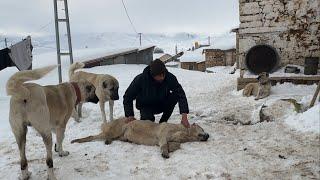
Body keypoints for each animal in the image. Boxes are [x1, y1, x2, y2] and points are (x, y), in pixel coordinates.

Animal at [71, 118, 209, 159]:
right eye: (202, 129)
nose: (208, 136)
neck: (185, 132)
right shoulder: (163, 135)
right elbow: (164, 144)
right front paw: (165, 152)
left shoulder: (171, 139)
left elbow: (176, 145)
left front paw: (169, 149)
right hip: (115, 130)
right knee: (92, 136)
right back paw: (76, 140)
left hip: (119, 135)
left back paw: (109, 141)